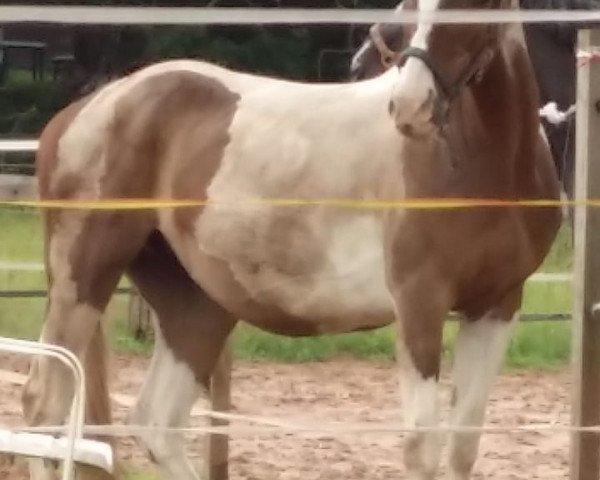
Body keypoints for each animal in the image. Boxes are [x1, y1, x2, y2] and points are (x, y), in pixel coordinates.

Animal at [19, 0, 564, 478]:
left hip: (194, 303)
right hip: (83, 277)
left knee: (157, 423)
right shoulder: (420, 303)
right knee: (44, 405)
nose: (411, 107)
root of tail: (81, 113)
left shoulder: (496, 304)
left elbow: (464, 446)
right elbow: (421, 449)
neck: (481, 160)